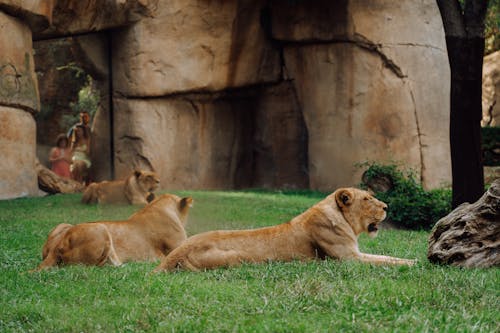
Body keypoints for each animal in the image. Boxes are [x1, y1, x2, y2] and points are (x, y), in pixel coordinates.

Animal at [154, 188, 416, 272]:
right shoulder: (348, 260)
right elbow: (383, 261)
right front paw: (414, 264)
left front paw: (413, 260)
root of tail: (176, 253)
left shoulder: (356, 254)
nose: (386, 207)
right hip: (238, 257)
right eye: (367, 199)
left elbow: (386, 257)